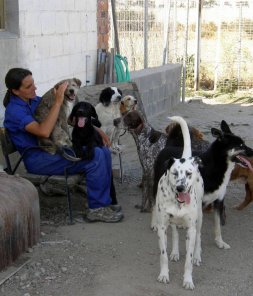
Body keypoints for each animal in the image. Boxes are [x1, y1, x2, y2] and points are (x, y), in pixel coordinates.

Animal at [152, 115, 204, 290]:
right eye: (174, 173)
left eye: (188, 173)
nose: (181, 188)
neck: (178, 202)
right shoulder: (162, 227)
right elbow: (163, 255)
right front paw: (163, 274)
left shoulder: (191, 228)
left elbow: (188, 260)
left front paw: (188, 280)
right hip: (172, 222)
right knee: (175, 233)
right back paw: (175, 252)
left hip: (199, 217)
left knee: (198, 236)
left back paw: (197, 255)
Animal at [153, 120, 253, 250]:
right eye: (240, 145)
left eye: (243, 143)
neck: (216, 165)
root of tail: (168, 146)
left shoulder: (218, 202)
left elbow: (217, 225)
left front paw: (219, 242)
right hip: (157, 186)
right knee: (154, 204)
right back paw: (154, 223)